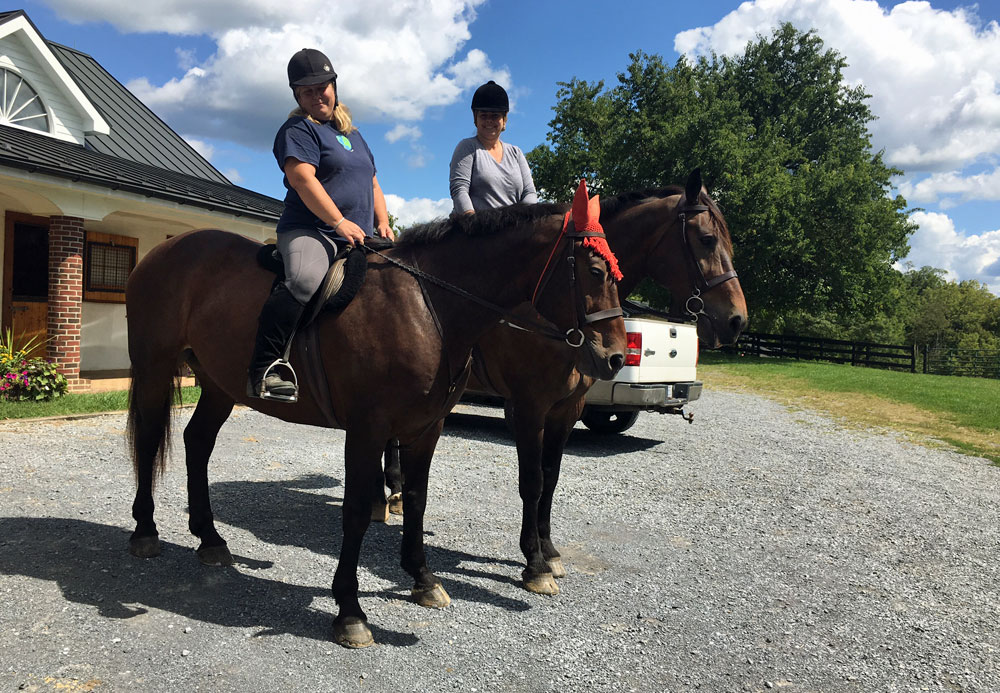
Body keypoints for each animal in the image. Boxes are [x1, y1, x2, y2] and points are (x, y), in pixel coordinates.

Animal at [123, 205, 624, 644]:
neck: (428, 307)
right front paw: (350, 612)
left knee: (197, 442)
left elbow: (418, 501)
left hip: (219, 384)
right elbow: (357, 511)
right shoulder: (368, 430)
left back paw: (209, 538)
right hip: (153, 366)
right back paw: (145, 531)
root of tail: (166, 248)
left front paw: (423, 579)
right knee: (148, 441)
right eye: (595, 271)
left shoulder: (427, 428)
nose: (616, 357)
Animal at [378, 168, 748, 596]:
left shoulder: (567, 408)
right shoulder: (528, 407)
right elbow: (533, 480)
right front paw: (534, 563)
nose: (737, 320)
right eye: (706, 239)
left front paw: (549, 551)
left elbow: (551, 478)